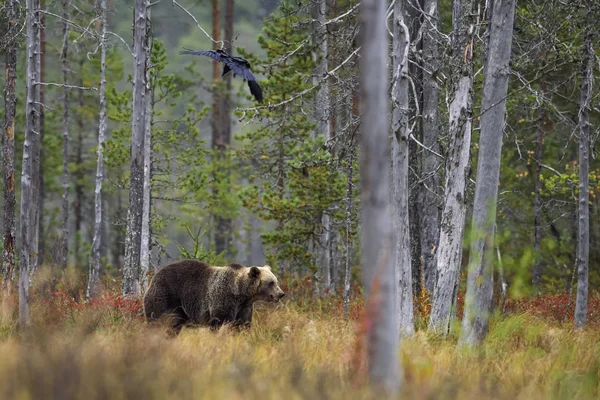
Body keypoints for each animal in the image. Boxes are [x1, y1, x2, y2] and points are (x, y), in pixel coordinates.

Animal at [142, 260, 284, 334]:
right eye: (271, 283)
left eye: (276, 281)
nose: (281, 294)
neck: (242, 293)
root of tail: (154, 277)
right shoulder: (223, 299)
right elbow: (220, 322)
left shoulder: (245, 307)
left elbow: (243, 324)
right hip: (165, 297)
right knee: (158, 321)